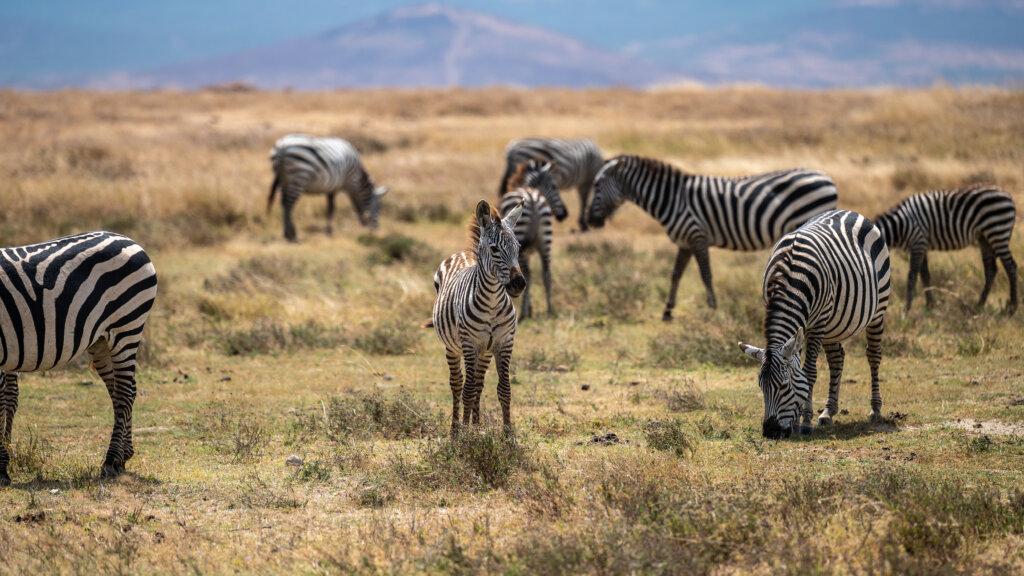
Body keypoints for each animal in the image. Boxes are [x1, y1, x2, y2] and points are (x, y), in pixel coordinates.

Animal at [0, 230, 157, 481]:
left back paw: (110, 461)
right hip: (101, 340)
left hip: (126, 325)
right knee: (123, 391)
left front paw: (2, 466)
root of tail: (128, 239)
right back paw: (123, 457)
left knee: (124, 392)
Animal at [432, 199, 528, 428]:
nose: (519, 284)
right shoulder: (470, 344)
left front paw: (507, 432)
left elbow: (504, 390)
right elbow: (466, 391)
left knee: (478, 383)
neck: (492, 303)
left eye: (518, 248)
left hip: (485, 351)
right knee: (457, 384)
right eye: (494, 249)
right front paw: (464, 433)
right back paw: (456, 428)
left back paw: (476, 426)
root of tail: (464, 252)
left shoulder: (504, 342)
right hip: (453, 347)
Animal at [585, 154, 839, 319]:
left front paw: (713, 309)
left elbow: (706, 275)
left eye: (596, 185)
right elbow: (675, 274)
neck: (673, 199)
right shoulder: (685, 241)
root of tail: (826, 177)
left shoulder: (697, 236)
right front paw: (667, 311)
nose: (589, 221)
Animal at [737, 208, 888, 436]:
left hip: (878, 309)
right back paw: (827, 413)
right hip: (834, 324)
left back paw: (876, 409)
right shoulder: (801, 324)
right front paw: (797, 420)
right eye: (760, 386)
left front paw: (805, 421)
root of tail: (849, 211)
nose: (770, 432)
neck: (791, 276)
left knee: (873, 355)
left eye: (784, 386)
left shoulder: (817, 323)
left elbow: (808, 372)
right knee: (836, 359)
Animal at [872, 186, 1015, 313]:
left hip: (998, 232)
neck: (901, 225)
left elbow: (912, 277)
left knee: (1010, 266)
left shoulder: (918, 242)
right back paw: (979, 306)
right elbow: (925, 275)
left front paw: (906, 310)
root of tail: (1007, 195)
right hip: (985, 238)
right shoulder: (922, 246)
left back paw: (1012, 308)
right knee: (991, 270)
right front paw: (930, 305)